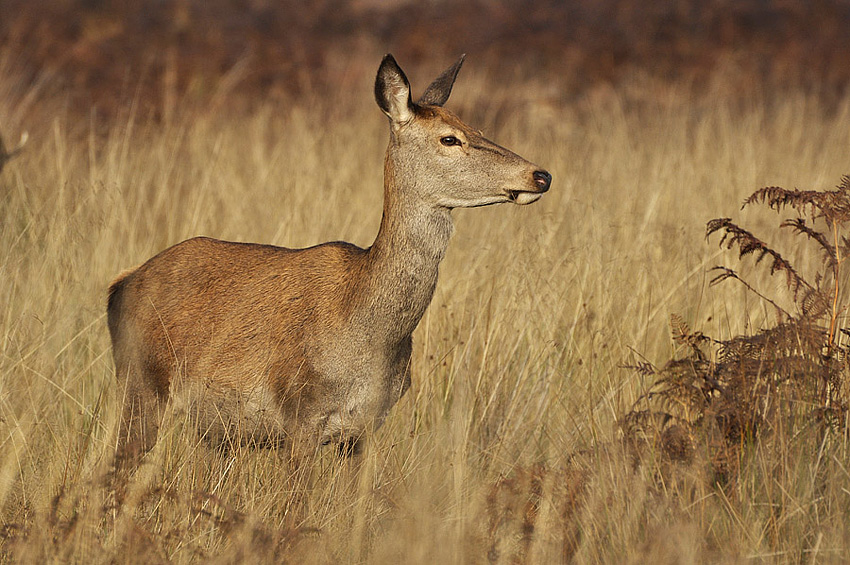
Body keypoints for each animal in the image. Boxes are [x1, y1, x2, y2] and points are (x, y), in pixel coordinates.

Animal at [106, 54, 552, 468]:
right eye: (449, 139)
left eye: (478, 128)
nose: (540, 175)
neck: (371, 334)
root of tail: (120, 284)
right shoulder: (300, 416)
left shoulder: (364, 430)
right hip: (141, 387)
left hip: (210, 430)